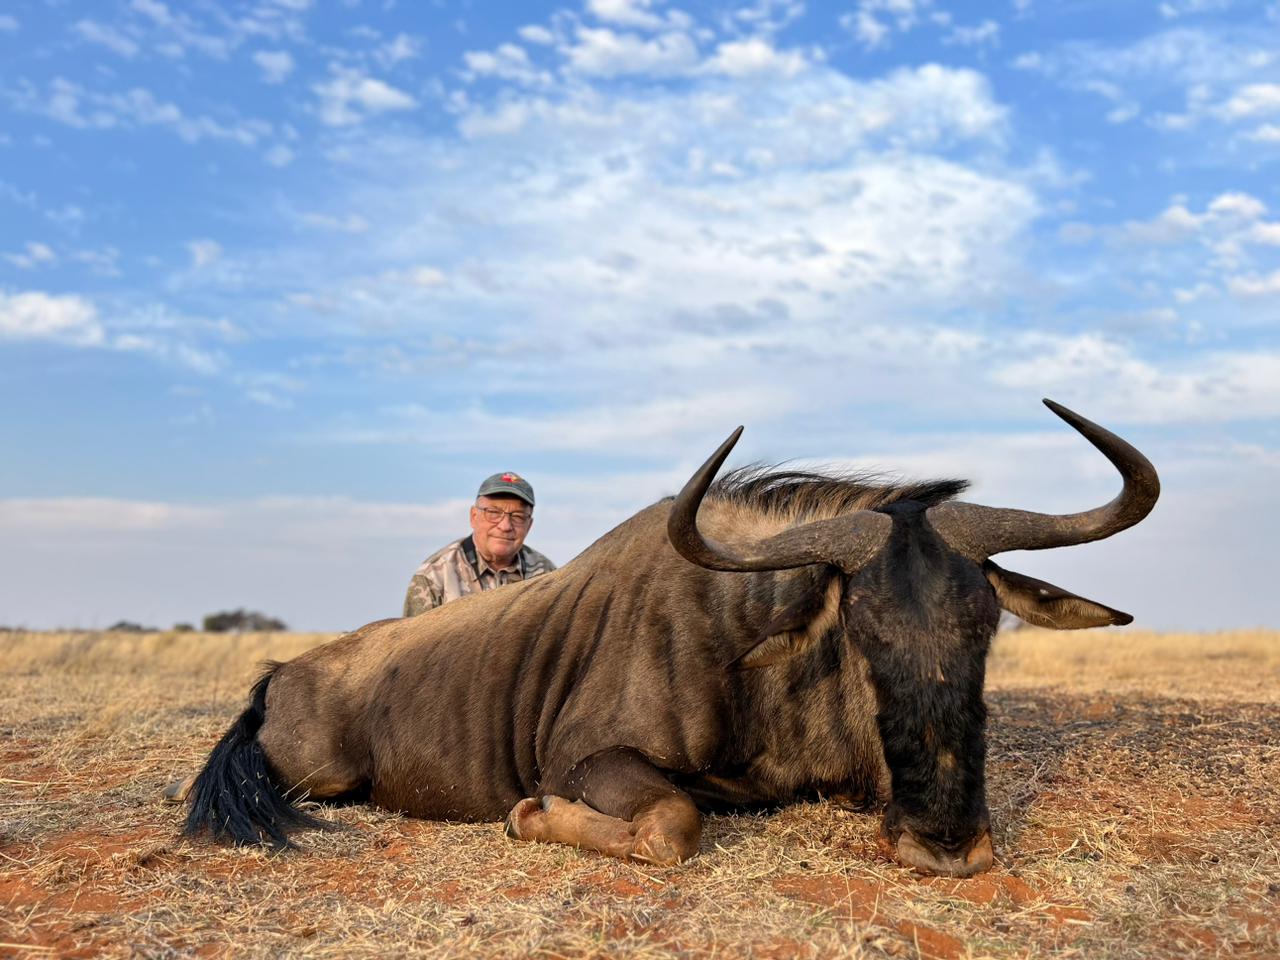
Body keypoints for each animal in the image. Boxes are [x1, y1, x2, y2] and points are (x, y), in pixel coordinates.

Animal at [178, 399, 1158, 877]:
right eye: (860, 631)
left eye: (983, 625)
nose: (948, 847)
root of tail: (280, 672)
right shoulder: (591, 758)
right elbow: (675, 825)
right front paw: (531, 814)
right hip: (321, 778)